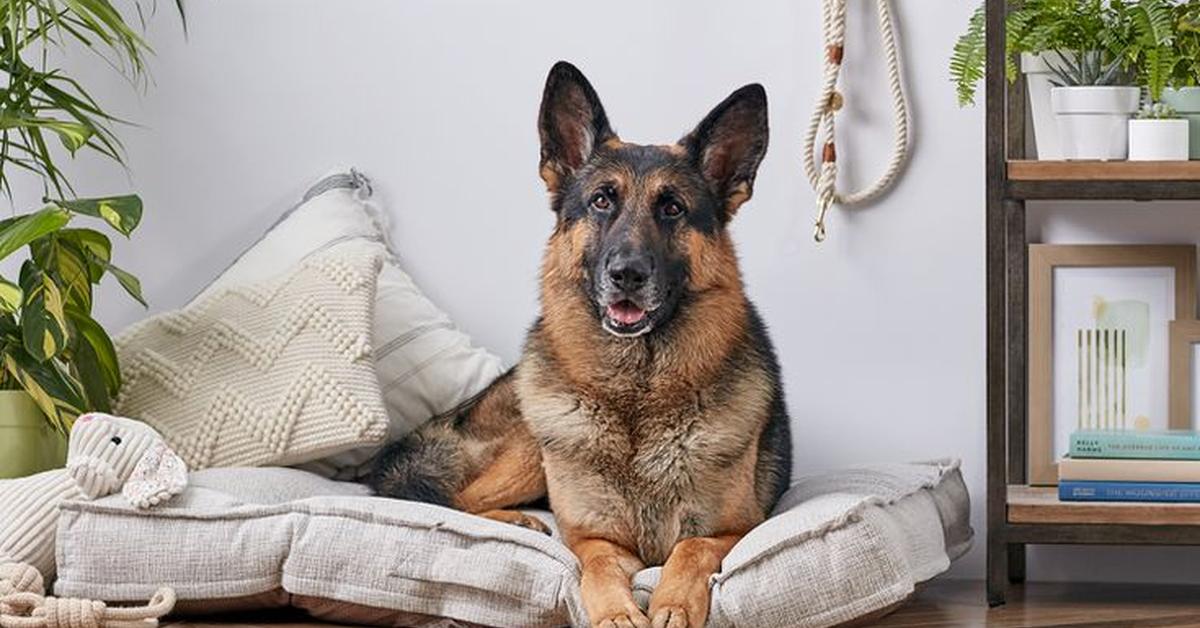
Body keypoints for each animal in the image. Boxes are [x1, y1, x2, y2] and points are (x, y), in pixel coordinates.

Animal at [369, 60, 792, 628]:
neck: (637, 396)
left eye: (673, 208)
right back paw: (516, 522)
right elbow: (595, 565)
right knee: (456, 495)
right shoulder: (595, 537)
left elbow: (692, 547)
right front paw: (617, 612)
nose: (627, 274)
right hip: (532, 445)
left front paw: (673, 604)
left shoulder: (738, 529)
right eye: (601, 201)